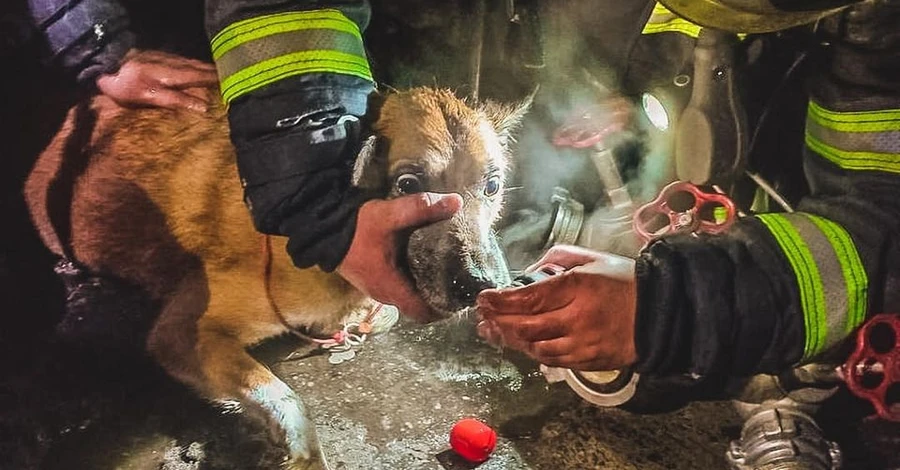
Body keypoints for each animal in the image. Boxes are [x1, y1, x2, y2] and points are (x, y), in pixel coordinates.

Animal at [24, 79, 532, 468]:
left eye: (492, 185)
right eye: (408, 185)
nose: (481, 286)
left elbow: (379, 315)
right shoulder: (181, 332)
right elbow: (284, 395)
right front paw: (303, 450)